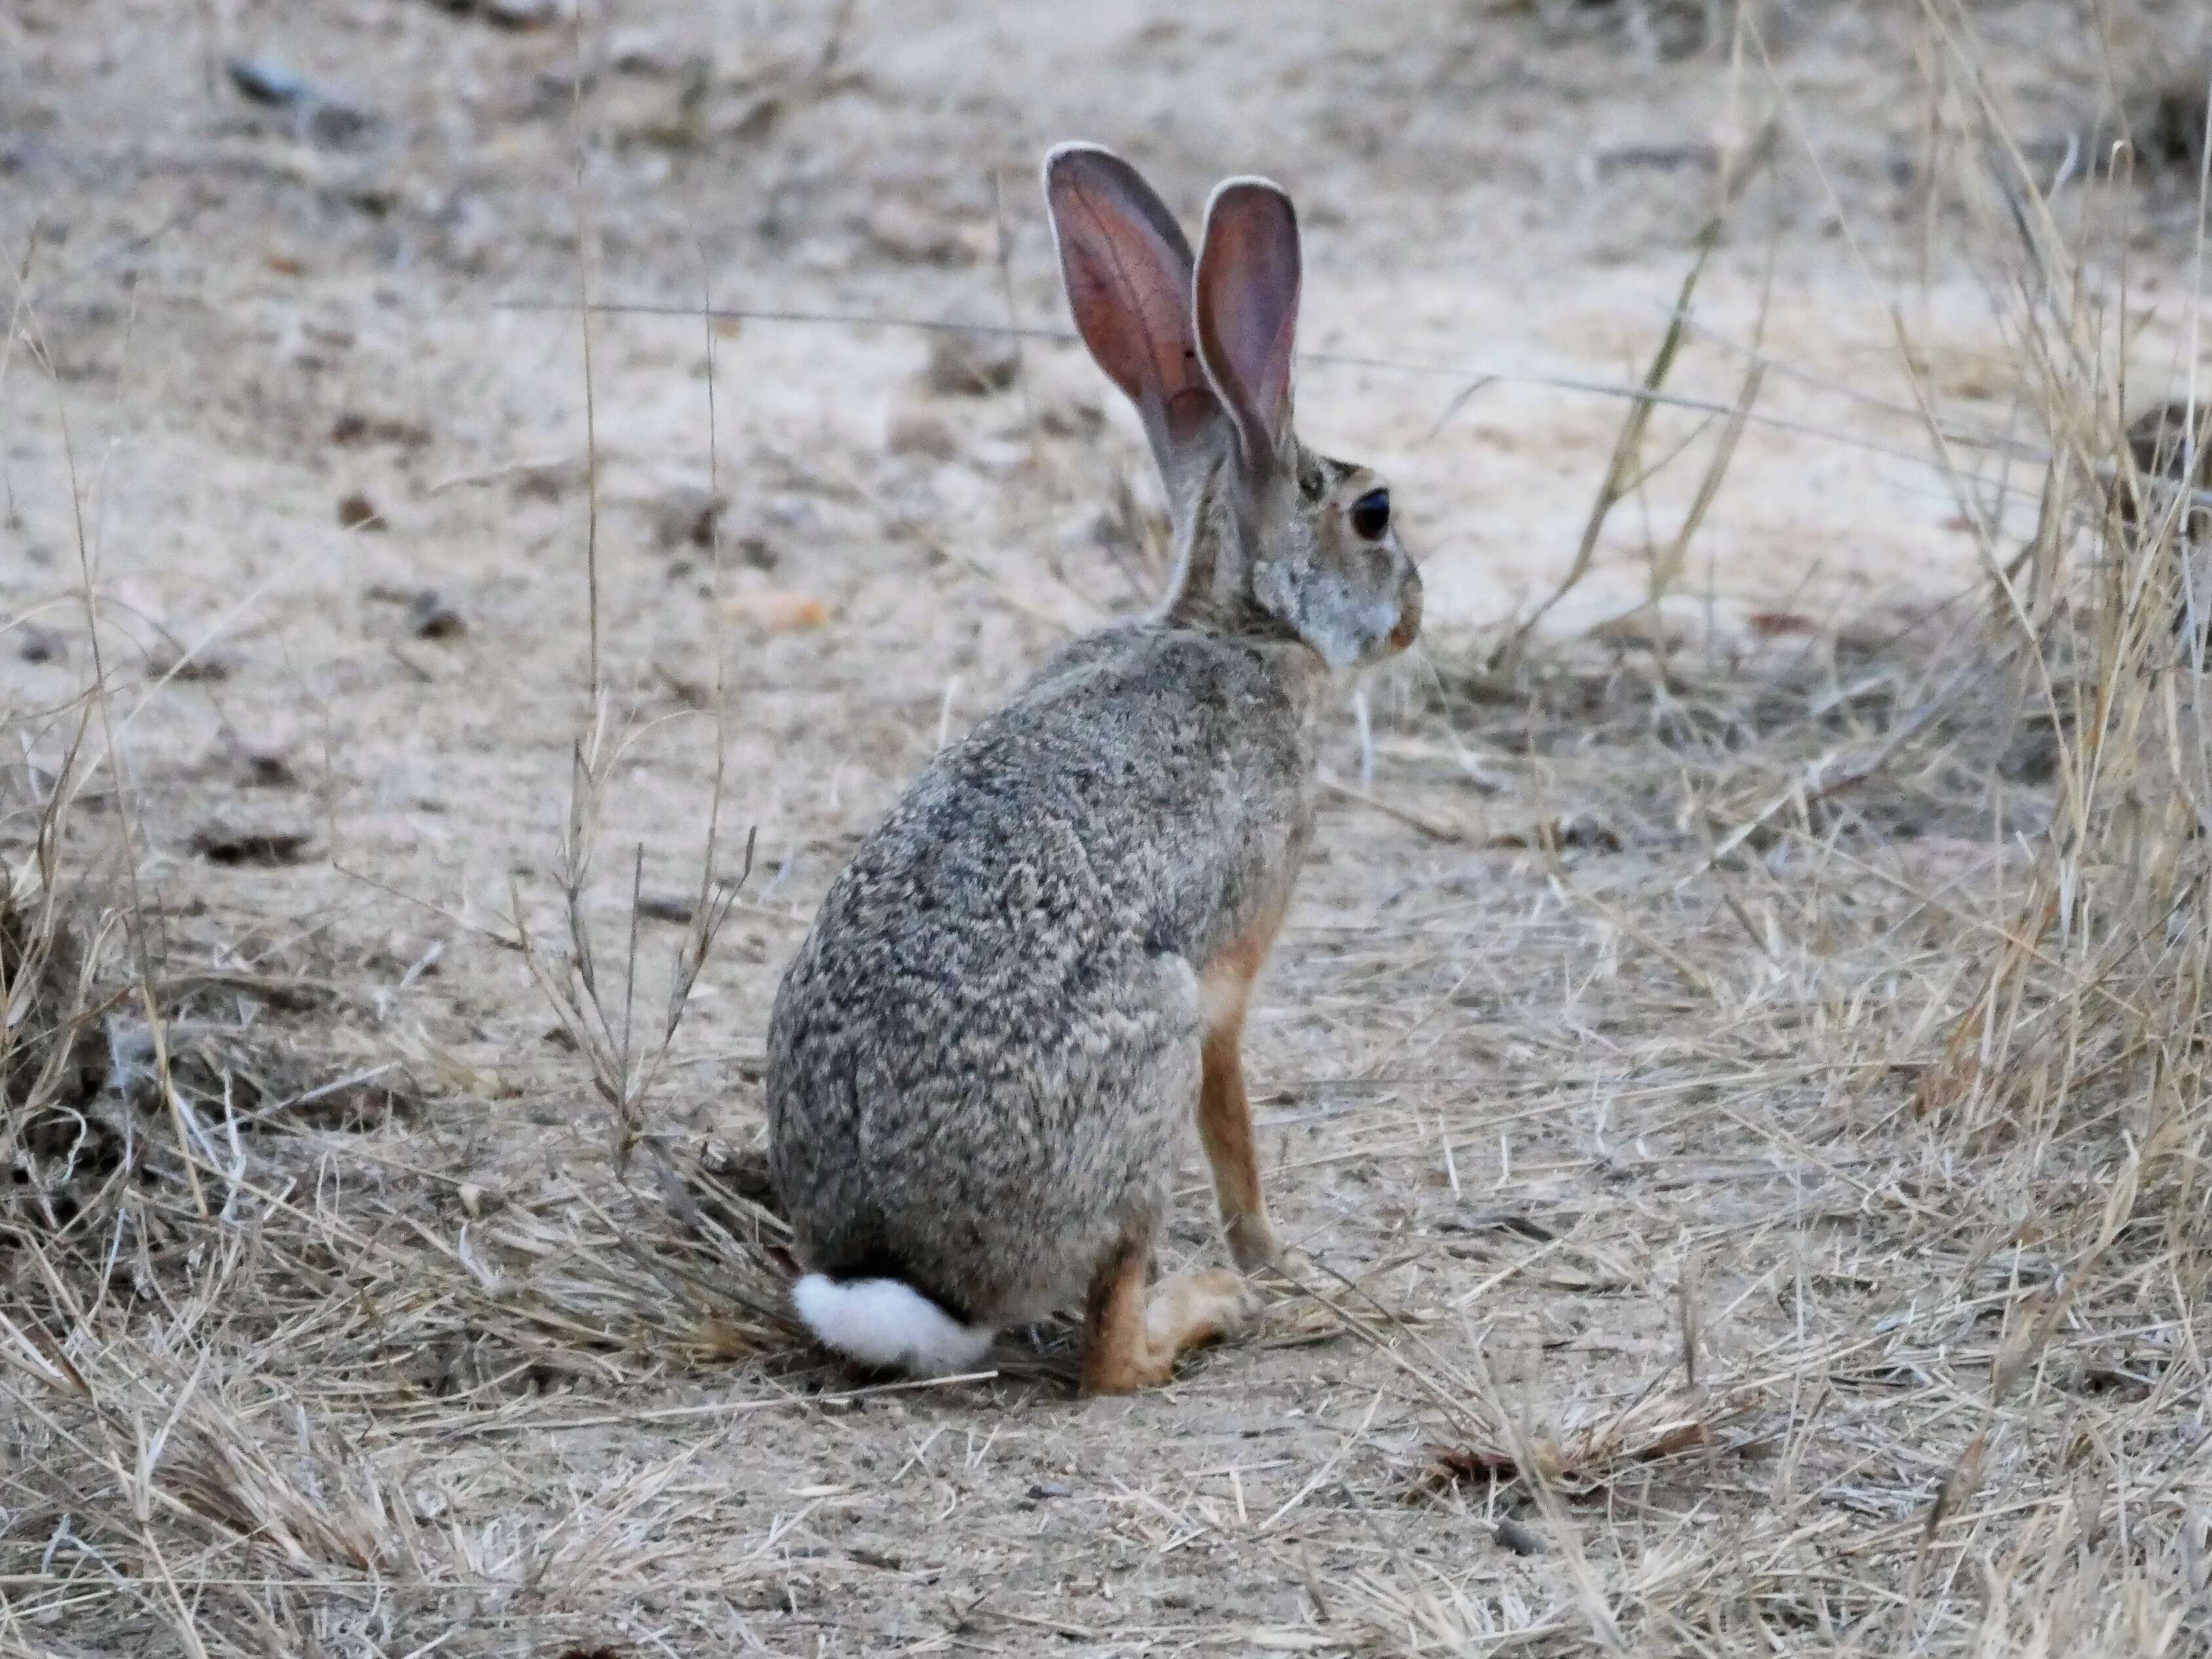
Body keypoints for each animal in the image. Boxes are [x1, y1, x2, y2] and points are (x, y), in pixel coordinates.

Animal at [765, 142, 1415, 1398]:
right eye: (1373, 513)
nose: (1414, 617)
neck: (1237, 626)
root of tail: (903, 1275)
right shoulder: (1227, 983)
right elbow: (1234, 1120)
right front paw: (1269, 1254)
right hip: (1142, 1073)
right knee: (1108, 1351)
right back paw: (1200, 1308)